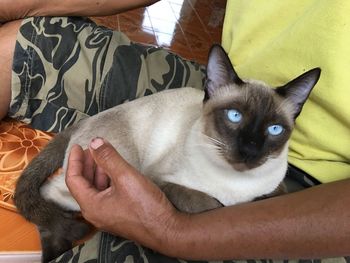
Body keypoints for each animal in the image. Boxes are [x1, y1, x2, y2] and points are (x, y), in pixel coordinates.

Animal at [13, 44, 320, 262]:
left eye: (274, 129)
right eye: (234, 116)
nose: (249, 151)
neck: (235, 184)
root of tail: (84, 121)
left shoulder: (276, 187)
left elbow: (272, 195)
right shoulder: (159, 180)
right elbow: (207, 204)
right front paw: (223, 205)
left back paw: (54, 249)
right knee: (49, 191)